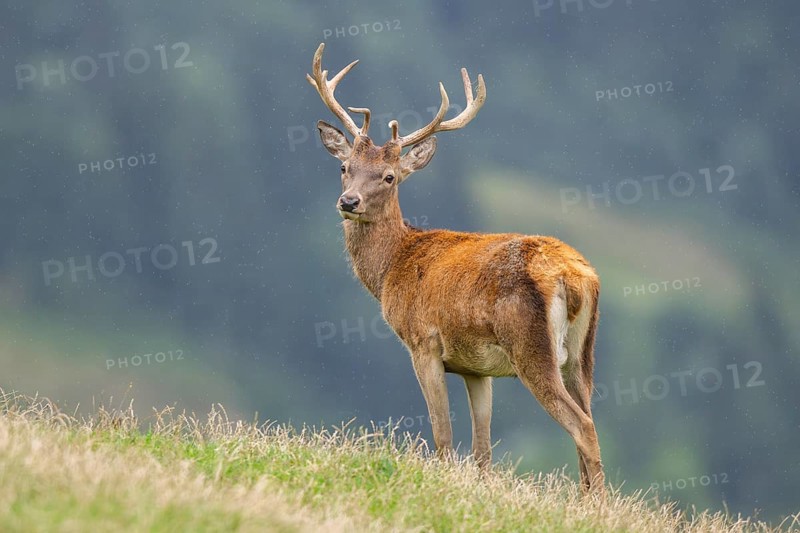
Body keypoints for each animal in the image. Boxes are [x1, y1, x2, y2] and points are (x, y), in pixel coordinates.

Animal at [306, 43, 606, 493]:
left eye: (389, 176)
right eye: (345, 168)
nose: (349, 201)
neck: (393, 266)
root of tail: (575, 278)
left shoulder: (423, 341)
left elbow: (442, 432)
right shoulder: (476, 368)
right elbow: (482, 450)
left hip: (531, 346)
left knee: (582, 426)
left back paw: (596, 505)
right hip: (581, 356)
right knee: (588, 418)